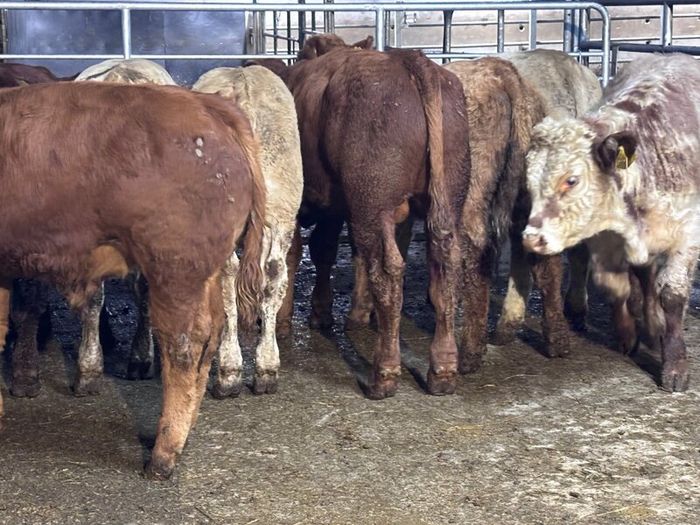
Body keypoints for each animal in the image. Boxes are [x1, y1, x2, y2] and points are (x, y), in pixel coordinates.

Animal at [0, 81, 266, 479]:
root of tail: (205, 105)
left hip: (174, 271)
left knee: (185, 347)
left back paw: (162, 457)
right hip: (203, 272)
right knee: (211, 336)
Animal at [282, 42, 470, 398]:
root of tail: (408, 59)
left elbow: (295, 253)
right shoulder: (336, 206)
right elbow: (324, 250)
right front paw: (327, 312)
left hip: (373, 202)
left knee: (385, 270)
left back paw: (383, 373)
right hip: (447, 198)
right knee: (446, 264)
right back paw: (443, 370)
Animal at [522, 53, 700, 392]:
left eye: (572, 180)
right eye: (529, 182)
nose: (531, 237)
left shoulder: (688, 234)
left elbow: (672, 294)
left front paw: (674, 364)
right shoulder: (605, 241)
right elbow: (615, 287)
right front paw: (628, 334)